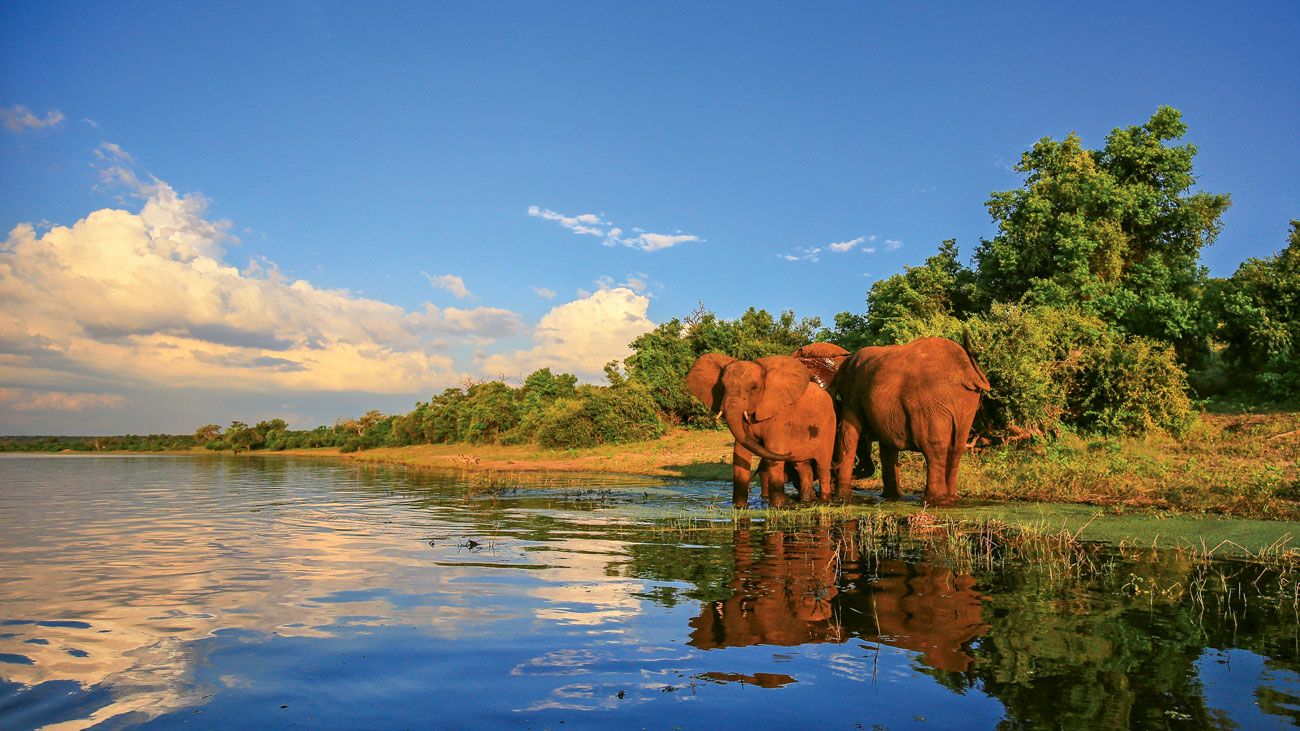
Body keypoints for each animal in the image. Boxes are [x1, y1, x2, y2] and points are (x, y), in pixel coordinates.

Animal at [686, 353, 836, 506]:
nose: (789, 452)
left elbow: (774, 449)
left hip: (829, 427)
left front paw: (778, 506)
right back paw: (807, 501)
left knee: (822, 466)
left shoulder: (779, 416)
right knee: (803, 466)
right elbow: (740, 451)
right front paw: (739, 507)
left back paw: (824, 500)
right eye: (723, 386)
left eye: (753, 388)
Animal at [831, 336, 990, 504]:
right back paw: (949, 498)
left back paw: (933, 499)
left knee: (933, 447)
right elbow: (887, 445)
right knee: (956, 446)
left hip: (930, 401)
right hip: (965, 401)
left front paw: (842, 498)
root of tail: (967, 371)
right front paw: (891, 498)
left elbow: (848, 434)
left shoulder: (853, 391)